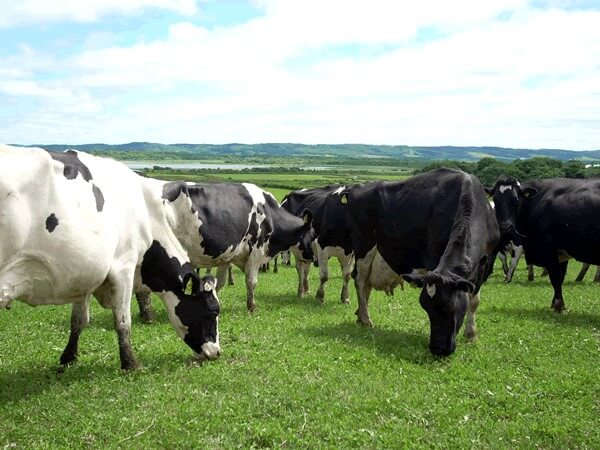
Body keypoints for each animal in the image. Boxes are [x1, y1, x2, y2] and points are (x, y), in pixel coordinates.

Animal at [0, 145, 221, 370]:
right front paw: (130, 364)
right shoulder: (123, 267)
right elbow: (123, 321)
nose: (217, 352)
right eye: (213, 311)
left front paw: (69, 357)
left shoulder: (86, 275)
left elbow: (79, 320)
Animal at [156, 181, 316, 312]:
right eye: (313, 236)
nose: (314, 259)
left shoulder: (226, 256)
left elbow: (219, 283)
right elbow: (251, 281)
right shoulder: (256, 251)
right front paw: (252, 307)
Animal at [341, 168, 500, 356]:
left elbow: (474, 301)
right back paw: (366, 319)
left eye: (449, 307)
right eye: (426, 308)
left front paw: (471, 335)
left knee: (366, 285)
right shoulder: (433, 259)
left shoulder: (485, 265)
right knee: (360, 280)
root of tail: (357, 187)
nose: (438, 349)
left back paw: (360, 315)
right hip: (364, 246)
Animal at [490, 176, 600, 312]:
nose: (505, 227)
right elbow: (560, 276)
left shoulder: (543, 246)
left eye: (516, 200)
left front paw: (558, 305)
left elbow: (555, 276)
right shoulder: (560, 250)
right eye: (495, 200)